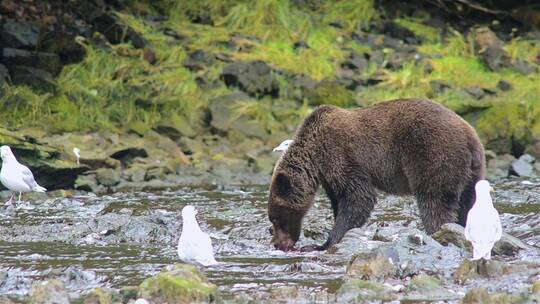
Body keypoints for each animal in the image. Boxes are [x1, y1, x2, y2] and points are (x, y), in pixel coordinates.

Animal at [268, 98, 486, 251]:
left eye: (276, 219)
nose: (278, 244)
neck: (314, 158)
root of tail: (470, 135)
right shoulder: (330, 176)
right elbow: (341, 200)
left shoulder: (340, 156)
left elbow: (359, 198)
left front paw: (323, 243)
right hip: (471, 174)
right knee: (468, 203)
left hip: (433, 155)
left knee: (434, 201)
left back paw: (437, 232)